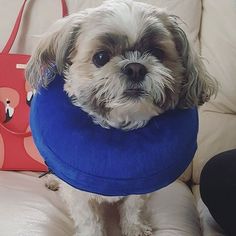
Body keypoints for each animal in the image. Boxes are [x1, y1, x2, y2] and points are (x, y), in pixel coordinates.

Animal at [25, 0, 216, 236]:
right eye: (100, 57)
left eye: (157, 52)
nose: (135, 68)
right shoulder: (79, 196)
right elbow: (89, 220)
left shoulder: (138, 186)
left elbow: (132, 208)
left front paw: (134, 228)